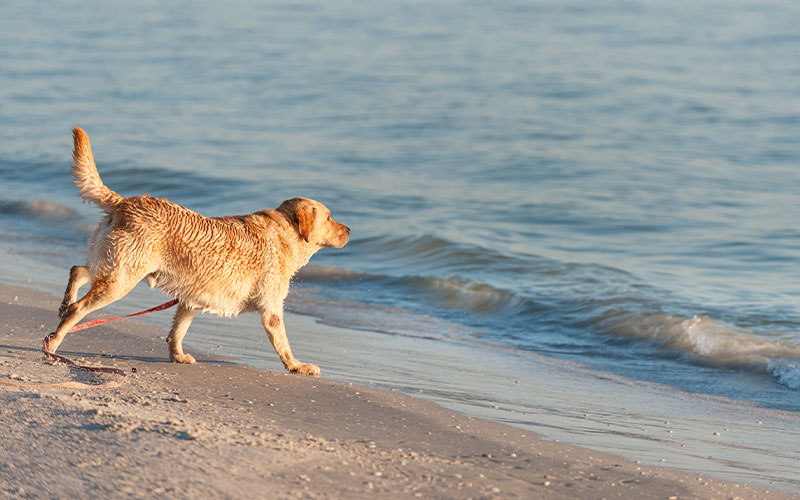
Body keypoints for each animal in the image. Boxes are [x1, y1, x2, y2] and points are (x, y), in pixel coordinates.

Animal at [48, 129, 348, 376]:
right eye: (330, 217)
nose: (348, 230)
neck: (285, 233)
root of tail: (125, 202)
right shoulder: (272, 310)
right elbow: (283, 343)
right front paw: (297, 365)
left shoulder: (190, 300)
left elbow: (178, 331)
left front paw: (178, 356)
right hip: (121, 280)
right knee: (78, 307)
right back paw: (55, 339)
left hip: (113, 267)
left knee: (77, 270)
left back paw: (64, 303)